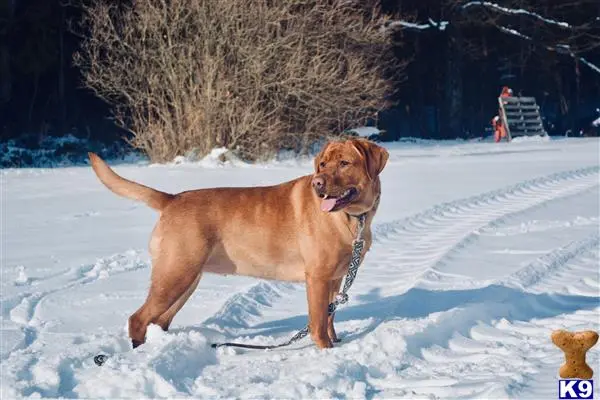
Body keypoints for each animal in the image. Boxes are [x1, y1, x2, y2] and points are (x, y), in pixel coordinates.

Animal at [89, 139, 390, 348]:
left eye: (344, 163)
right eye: (323, 164)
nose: (318, 183)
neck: (353, 218)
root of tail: (171, 199)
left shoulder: (335, 278)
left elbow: (330, 317)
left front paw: (336, 341)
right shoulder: (317, 277)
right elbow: (318, 321)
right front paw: (326, 350)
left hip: (185, 279)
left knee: (160, 320)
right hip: (175, 275)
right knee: (138, 319)